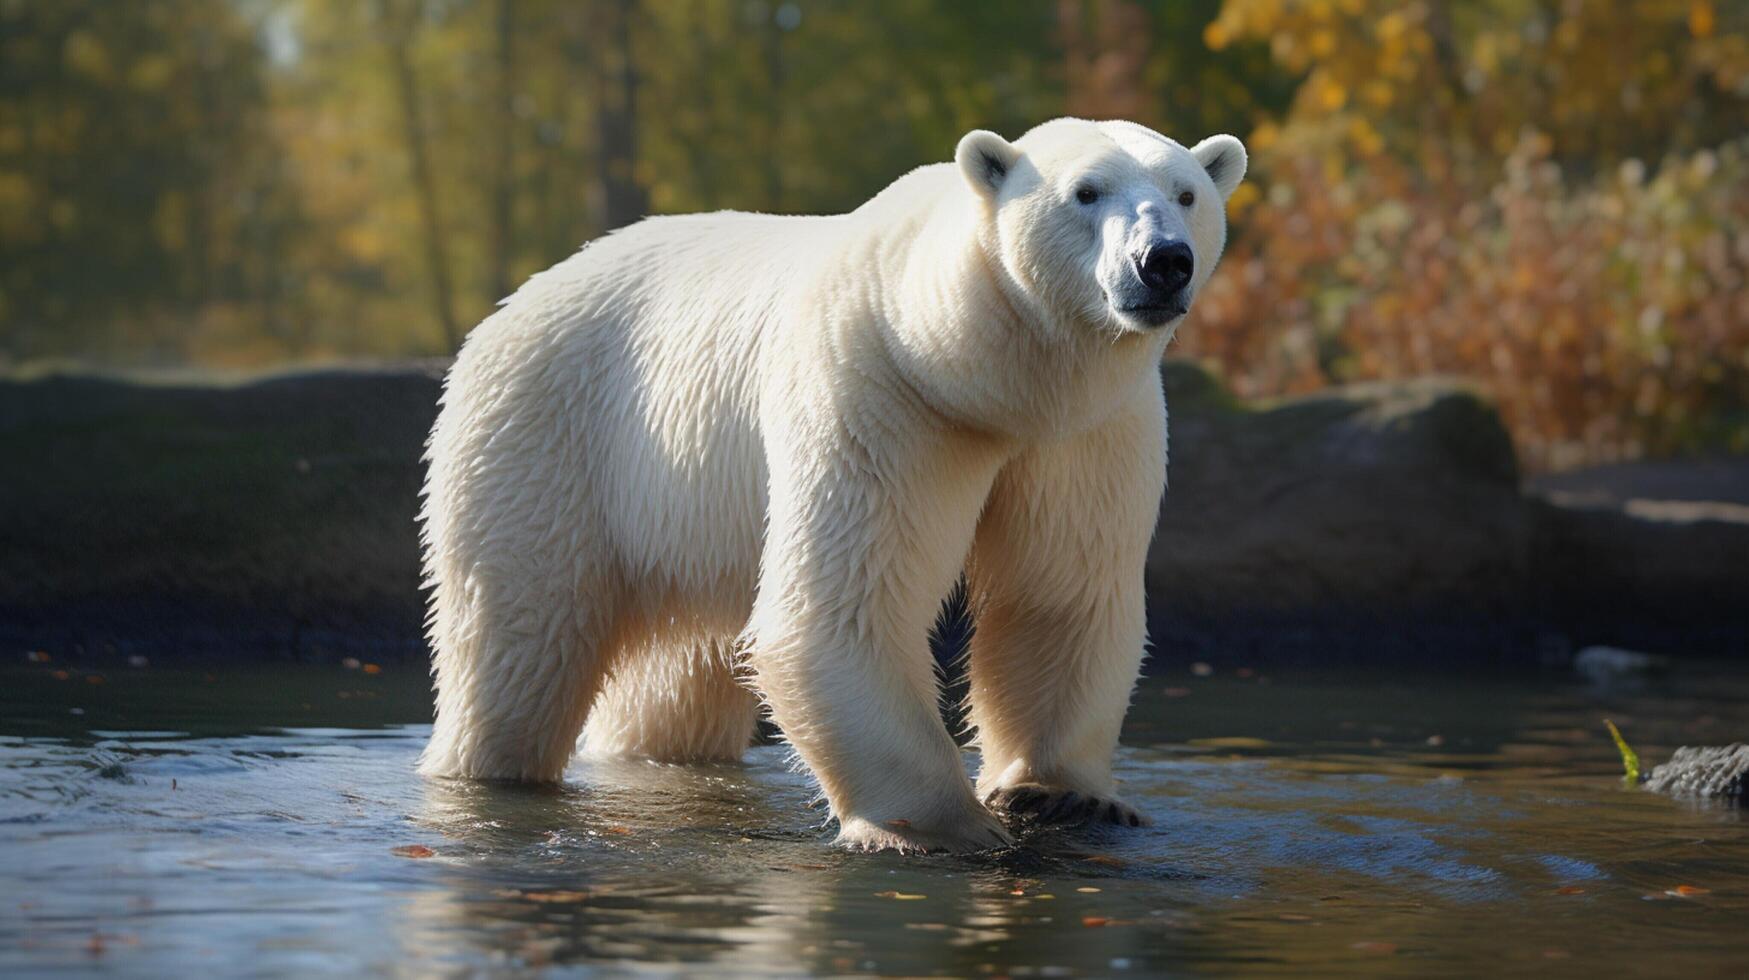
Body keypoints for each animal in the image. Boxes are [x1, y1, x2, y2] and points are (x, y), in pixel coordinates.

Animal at [419, 116, 1245, 850]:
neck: (970, 365)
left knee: (675, 680)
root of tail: (512, 304)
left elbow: (1059, 594)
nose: (1162, 262)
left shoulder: (1086, 430)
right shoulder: (880, 390)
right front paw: (939, 828)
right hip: (548, 436)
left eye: (1186, 193)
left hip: (687, 517)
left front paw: (1059, 795)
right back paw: (485, 767)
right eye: (1085, 192)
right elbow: (847, 605)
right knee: (517, 641)